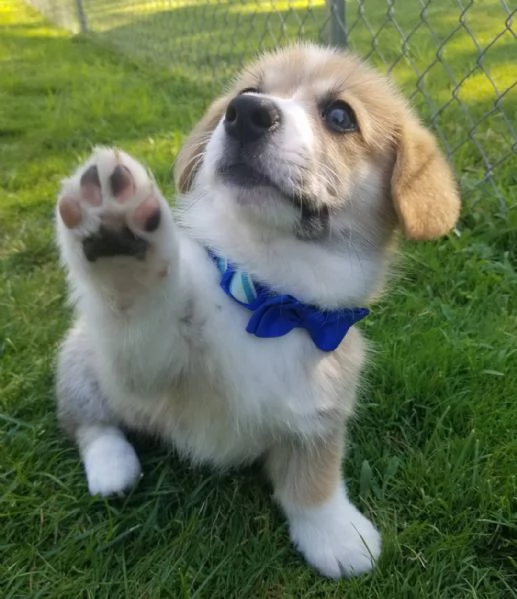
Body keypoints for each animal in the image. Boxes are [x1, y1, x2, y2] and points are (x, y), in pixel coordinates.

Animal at [55, 44, 460, 580]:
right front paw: (115, 232)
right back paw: (111, 466)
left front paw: (335, 536)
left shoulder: (319, 414)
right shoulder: (151, 371)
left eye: (340, 116)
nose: (246, 113)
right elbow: (136, 303)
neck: (269, 296)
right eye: (249, 91)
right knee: (89, 421)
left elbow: (315, 481)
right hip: (80, 361)